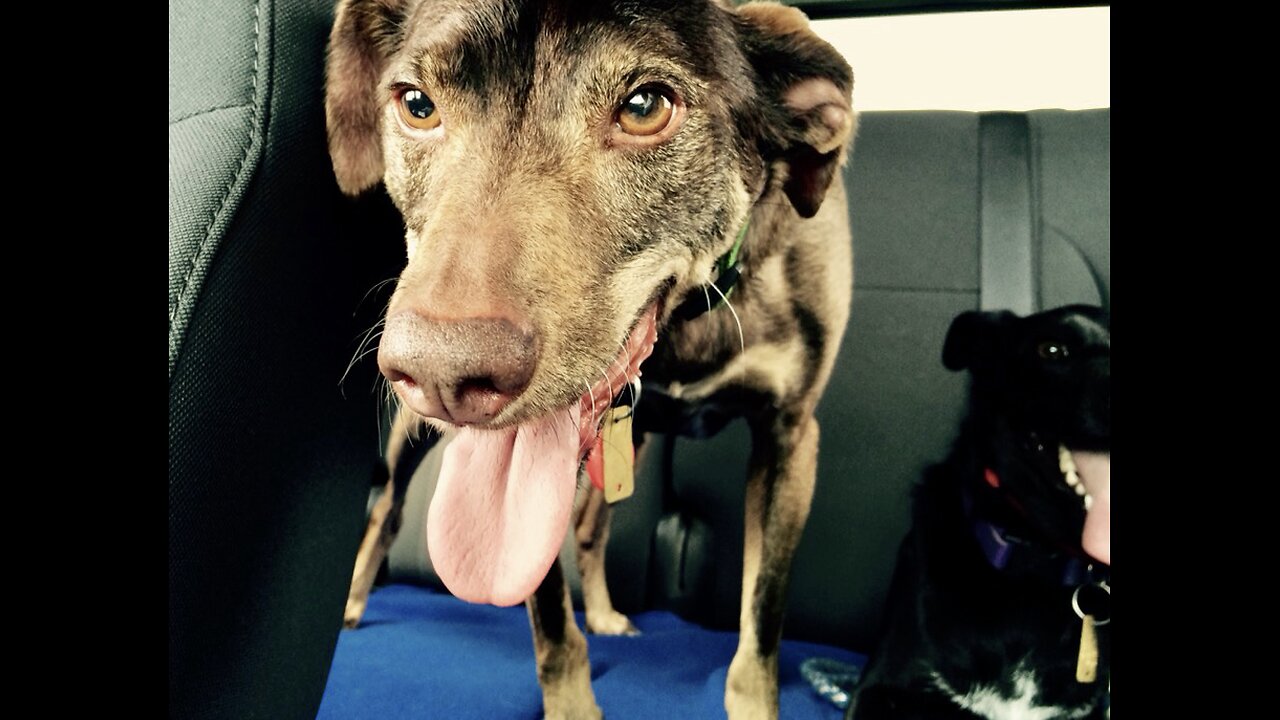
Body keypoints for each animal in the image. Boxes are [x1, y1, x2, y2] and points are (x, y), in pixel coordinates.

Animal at [324, 1, 856, 718]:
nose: (443, 373)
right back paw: (354, 600)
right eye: (416, 103)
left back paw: (603, 613)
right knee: (387, 508)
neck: (689, 317)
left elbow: (761, 622)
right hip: (415, 435)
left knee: (588, 525)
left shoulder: (790, 437)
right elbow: (550, 619)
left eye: (644, 107)